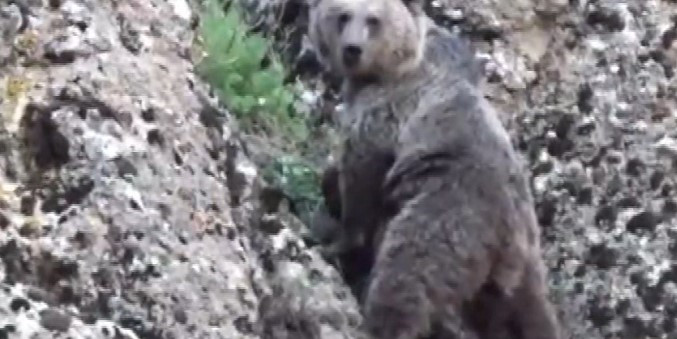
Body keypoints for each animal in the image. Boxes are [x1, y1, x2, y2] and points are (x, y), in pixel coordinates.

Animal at [306, 0, 560, 339]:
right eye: (343, 15)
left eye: (373, 20)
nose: (352, 49)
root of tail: (512, 233)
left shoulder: (387, 111)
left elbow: (362, 172)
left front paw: (336, 242)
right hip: (514, 273)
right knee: (524, 313)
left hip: (450, 214)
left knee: (407, 269)